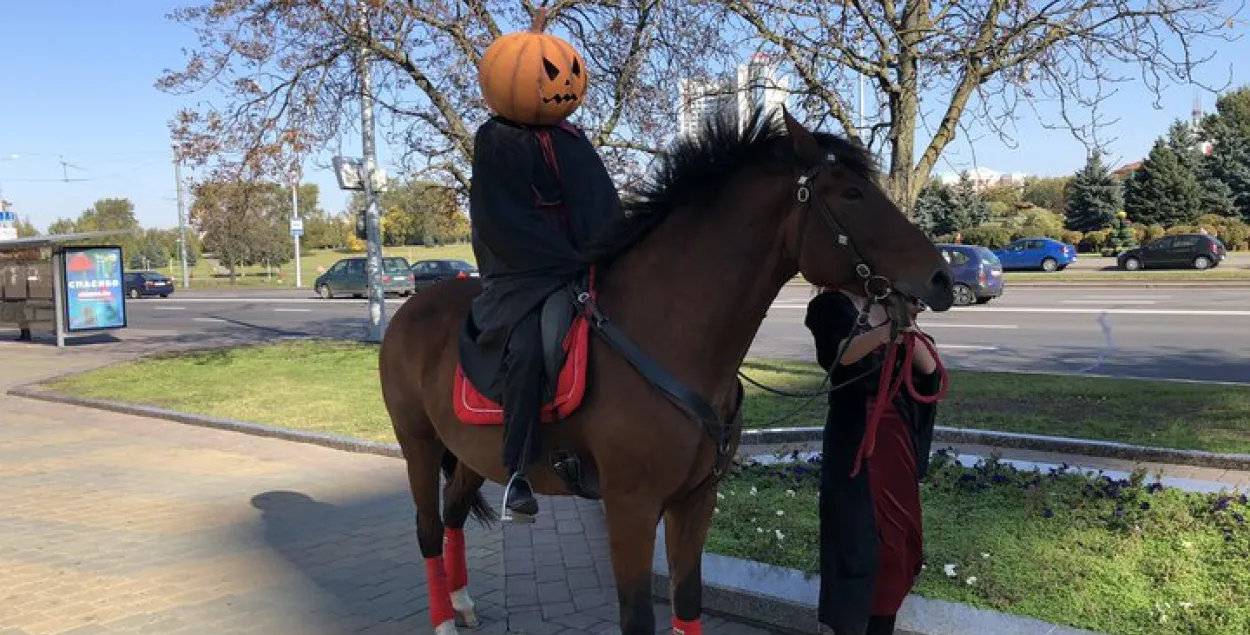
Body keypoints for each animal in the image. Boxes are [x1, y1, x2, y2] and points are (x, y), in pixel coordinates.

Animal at [375, 105, 950, 635]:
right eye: (852, 194)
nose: (942, 277)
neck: (671, 341)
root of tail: (410, 309)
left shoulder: (695, 501)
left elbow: (687, 600)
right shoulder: (630, 508)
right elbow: (637, 617)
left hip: (472, 452)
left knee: (452, 515)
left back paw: (462, 604)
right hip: (417, 443)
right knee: (428, 529)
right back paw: (443, 620)